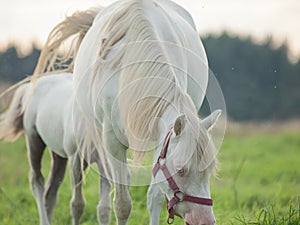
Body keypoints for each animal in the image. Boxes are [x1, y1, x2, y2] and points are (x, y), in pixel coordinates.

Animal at [0, 73, 112, 225]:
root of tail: (29, 86)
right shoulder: (76, 160)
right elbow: (77, 205)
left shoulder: (105, 164)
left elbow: (104, 208)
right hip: (34, 140)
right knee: (36, 180)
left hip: (59, 156)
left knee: (51, 191)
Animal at [34, 0, 221, 225]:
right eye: (181, 170)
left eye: (209, 169)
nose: (205, 220)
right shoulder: (112, 142)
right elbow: (122, 205)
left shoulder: (159, 139)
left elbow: (154, 197)